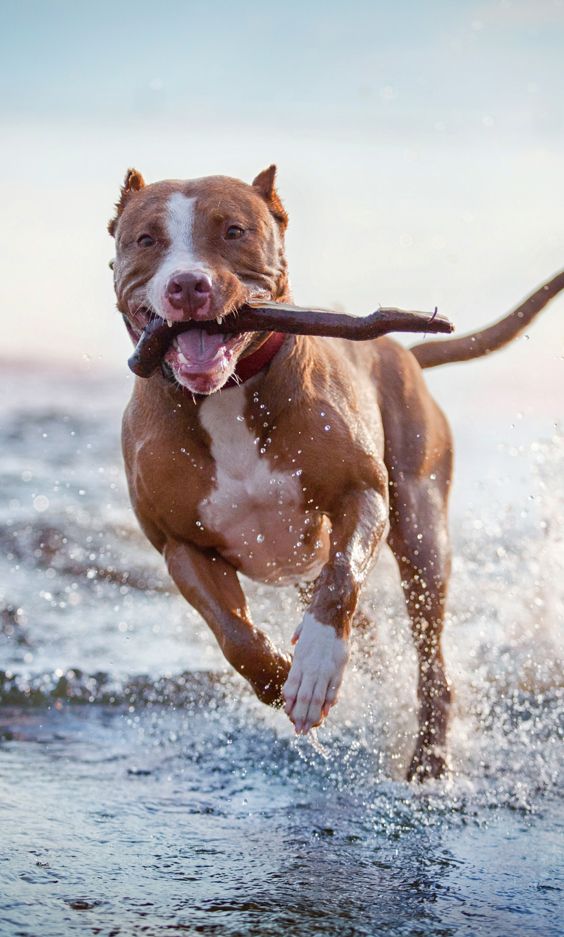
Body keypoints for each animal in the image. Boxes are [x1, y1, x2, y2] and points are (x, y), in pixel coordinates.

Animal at [109, 168, 564, 784]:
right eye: (146, 239)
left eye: (234, 231)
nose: (187, 285)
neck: (227, 394)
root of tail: (401, 350)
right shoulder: (181, 544)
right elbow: (235, 635)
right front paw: (283, 677)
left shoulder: (361, 494)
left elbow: (343, 577)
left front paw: (317, 666)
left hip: (421, 529)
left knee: (431, 659)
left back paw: (429, 760)